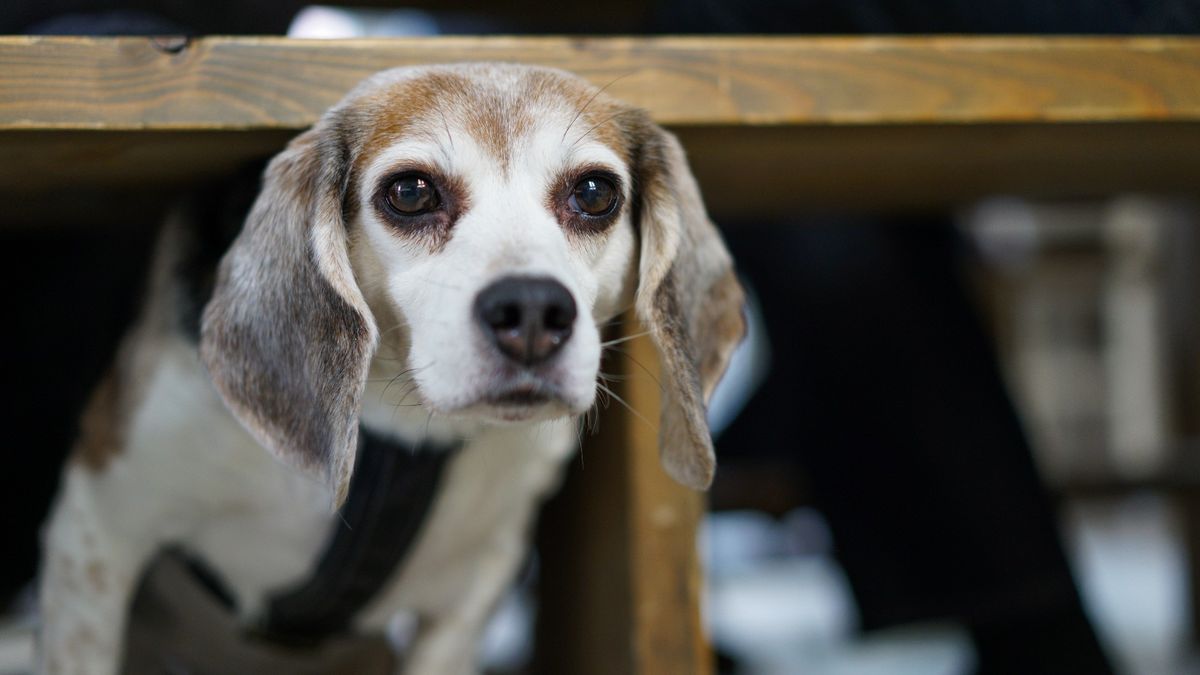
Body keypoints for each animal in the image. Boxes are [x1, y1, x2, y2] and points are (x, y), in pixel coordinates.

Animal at [37, 63, 744, 672]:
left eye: (594, 193)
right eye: (410, 192)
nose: (533, 310)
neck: (398, 430)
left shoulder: (474, 585)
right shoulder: (97, 529)